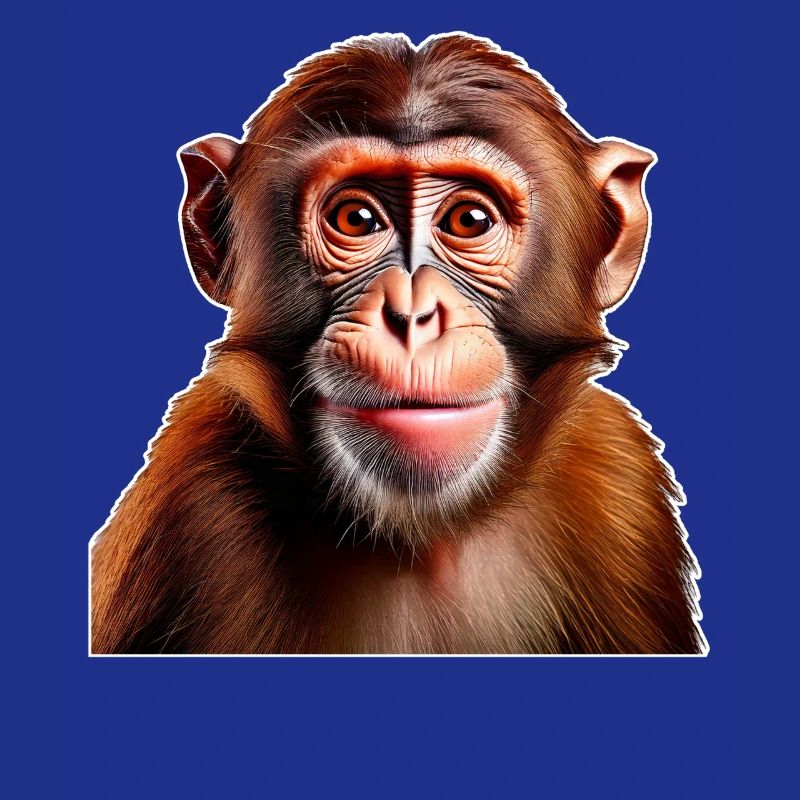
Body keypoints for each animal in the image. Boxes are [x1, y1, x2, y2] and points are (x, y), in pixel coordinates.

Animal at [90, 33, 705, 655]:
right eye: (356, 218)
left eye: (469, 219)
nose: (412, 314)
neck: (422, 540)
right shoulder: (190, 506)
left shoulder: (619, 477)